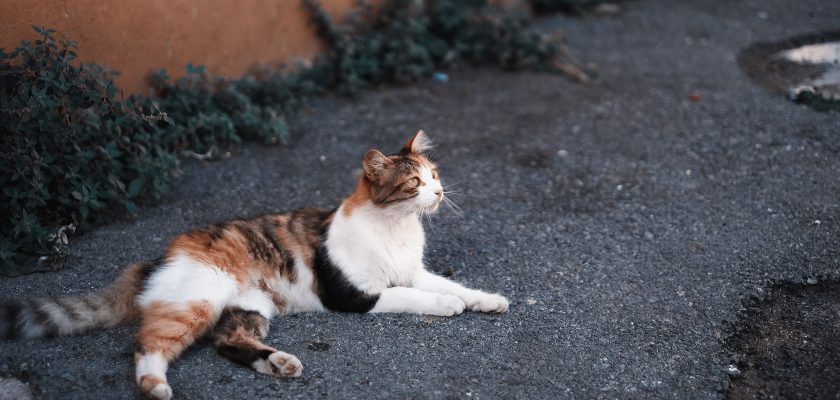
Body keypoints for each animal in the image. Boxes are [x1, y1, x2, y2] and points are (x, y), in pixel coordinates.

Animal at [0, 132, 508, 400]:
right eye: (415, 182)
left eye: (435, 175)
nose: (439, 192)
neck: (396, 229)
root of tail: (158, 258)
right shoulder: (354, 295)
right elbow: (417, 295)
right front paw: (445, 306)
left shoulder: (414, 270)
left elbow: (455, 285)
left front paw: (487, 300)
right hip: (198, 301)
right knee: (147, 344)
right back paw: (155, 385)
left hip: (249, 307)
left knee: (228, 343)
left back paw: (279, 363)